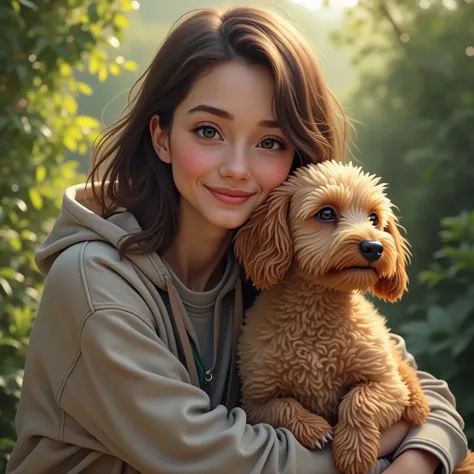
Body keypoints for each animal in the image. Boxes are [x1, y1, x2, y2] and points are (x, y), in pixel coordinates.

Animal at [234, 161, 474, 474]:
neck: (318, 313)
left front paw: (354, 452)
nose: (374, 247)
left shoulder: (389, 386)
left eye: (374, 218)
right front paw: (315, 430)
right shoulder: (255, 402)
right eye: (326, 213)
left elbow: (358, 399)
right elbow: (284, 406)